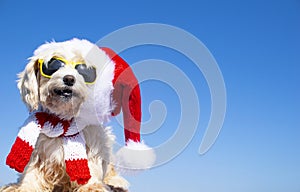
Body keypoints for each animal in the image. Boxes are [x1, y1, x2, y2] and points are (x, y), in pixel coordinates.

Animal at [1, 39, 130, 192]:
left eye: (84, 70)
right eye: (54, 65)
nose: (69, 79)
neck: (62, 121)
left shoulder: (94, 145)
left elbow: (91, 168)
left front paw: (92, 186)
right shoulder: (38, 152)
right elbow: (31, 172)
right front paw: (24, 186)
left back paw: (117, 181)